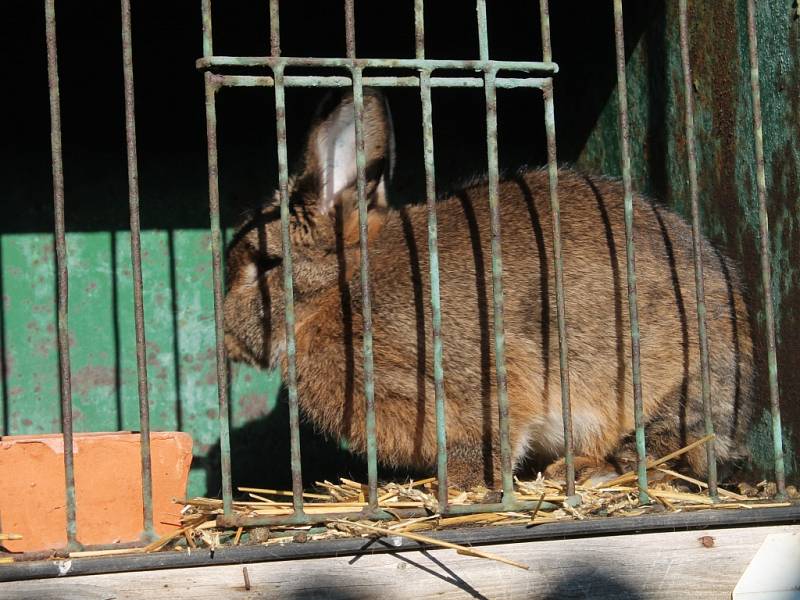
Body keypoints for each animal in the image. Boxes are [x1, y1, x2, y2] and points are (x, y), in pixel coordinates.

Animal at [222, 90, 752, 492]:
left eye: (266, 264)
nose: (224, 338)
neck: (341, 287)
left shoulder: (479, 376)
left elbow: (487, 434)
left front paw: (458, 485)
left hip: (667, 388)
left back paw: (587, 472)